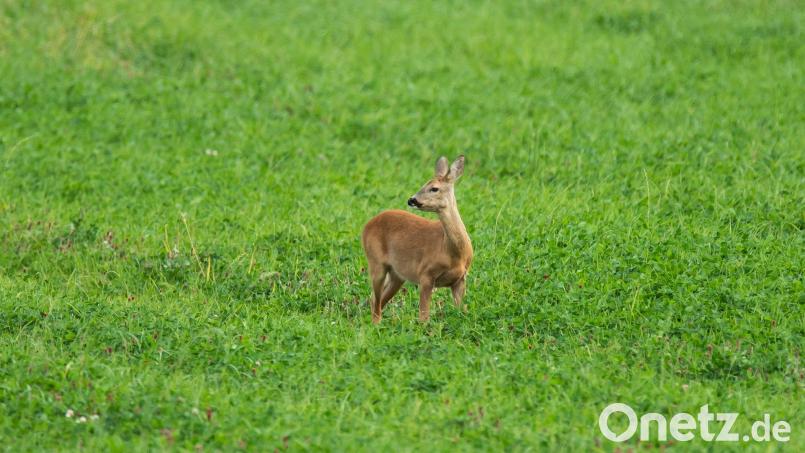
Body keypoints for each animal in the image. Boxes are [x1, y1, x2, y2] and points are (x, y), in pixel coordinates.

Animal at [361, 155, 473, 323]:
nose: (411, 200)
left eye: (434, 188)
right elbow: (424, 317)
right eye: (424, 184)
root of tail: (366, 226)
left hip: (397, 275)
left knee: (376, 299)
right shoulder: (425, 274)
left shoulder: (460, 280)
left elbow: (461, 311)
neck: (453, 252)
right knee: (375, 300)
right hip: (375, 262)